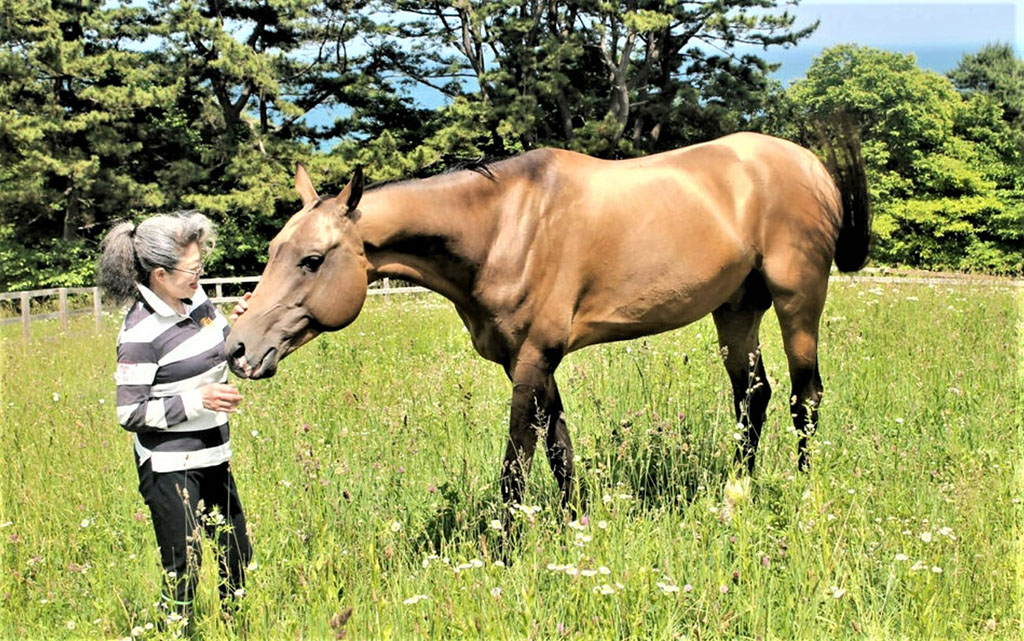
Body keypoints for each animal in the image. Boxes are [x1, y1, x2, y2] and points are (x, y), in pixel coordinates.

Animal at [222, 131, 864, 514]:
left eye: (311, 260)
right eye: (274, 249)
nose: (238, 347)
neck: (501, 227)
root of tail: (811, 163)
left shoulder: (533, 359)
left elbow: (516, 466)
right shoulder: (528, 361)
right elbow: (559, 451)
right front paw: (575, 527)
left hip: (797, 299)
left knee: (804, 396)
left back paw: (804, 492)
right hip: (735, 309)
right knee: (752, 398)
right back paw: (736, 493)